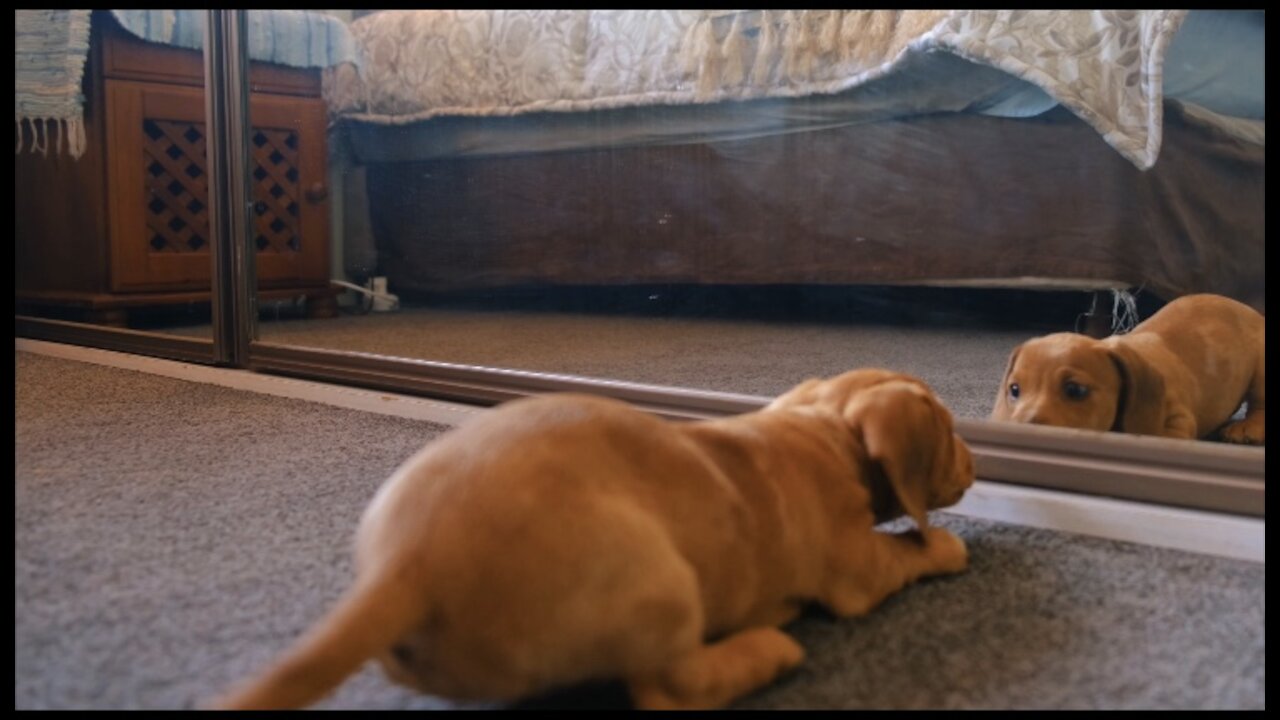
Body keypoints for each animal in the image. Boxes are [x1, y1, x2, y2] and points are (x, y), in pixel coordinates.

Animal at [212, 366, 967, 707]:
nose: (973, 460)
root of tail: (407, 565)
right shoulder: (859, 569)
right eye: (951, 430)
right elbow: (907, 549)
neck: (823, 432)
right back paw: (767, 651)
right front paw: (947, 546)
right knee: (668, 688)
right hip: (663, 586)